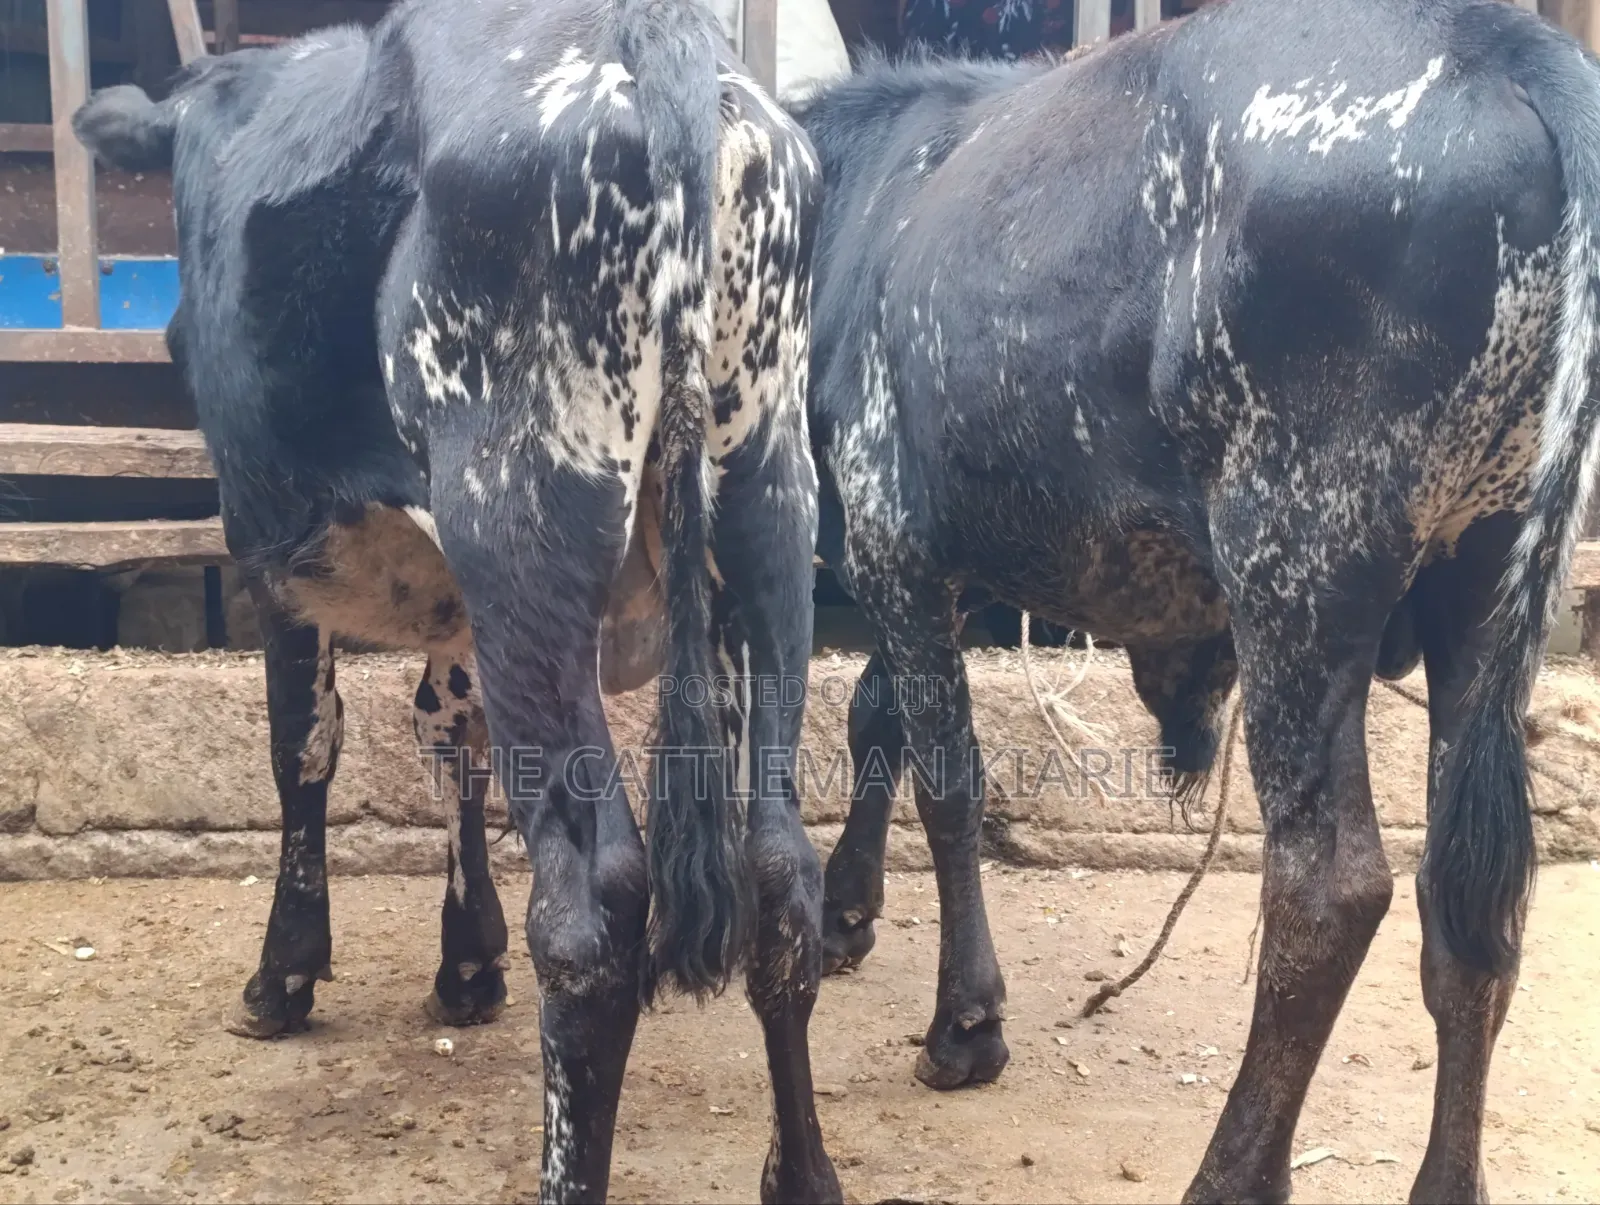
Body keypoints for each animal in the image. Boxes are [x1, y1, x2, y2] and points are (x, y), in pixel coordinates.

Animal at [71, 1, 840, 1200]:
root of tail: (652, 38)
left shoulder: (274, 553)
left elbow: (303, 748)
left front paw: (284, 973)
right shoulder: (454, 610)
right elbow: (450, 734)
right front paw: (467, 956)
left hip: (515, 521)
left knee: (593, 909)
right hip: (766, 504)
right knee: (780, 872)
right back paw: (801, 1174)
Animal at [792, 1, 1600, 1199]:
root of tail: (1514, 44)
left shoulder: (893, 533)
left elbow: (947, 778)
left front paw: (965, 1024)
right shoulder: (929, 559)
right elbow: (877, 715)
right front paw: (848, 911)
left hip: (1296, 571)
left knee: (1329, 889)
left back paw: (1230, 1170)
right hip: (1487, 590)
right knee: (1471, 906)